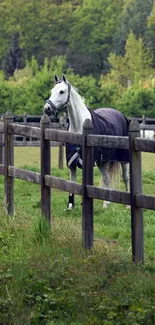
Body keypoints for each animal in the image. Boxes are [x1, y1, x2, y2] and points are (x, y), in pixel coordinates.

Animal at [44, 74, 130, 208]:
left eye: (62, 91)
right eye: (52, 91)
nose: (47, 108)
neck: (79, 126)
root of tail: (121, 115)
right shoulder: (72, 163)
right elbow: (72, 183)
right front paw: (70, 206)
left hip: (123, 158)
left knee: (126, 177)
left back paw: (128, 205)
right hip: (102, 161)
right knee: (106, 178)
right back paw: (106, 204)